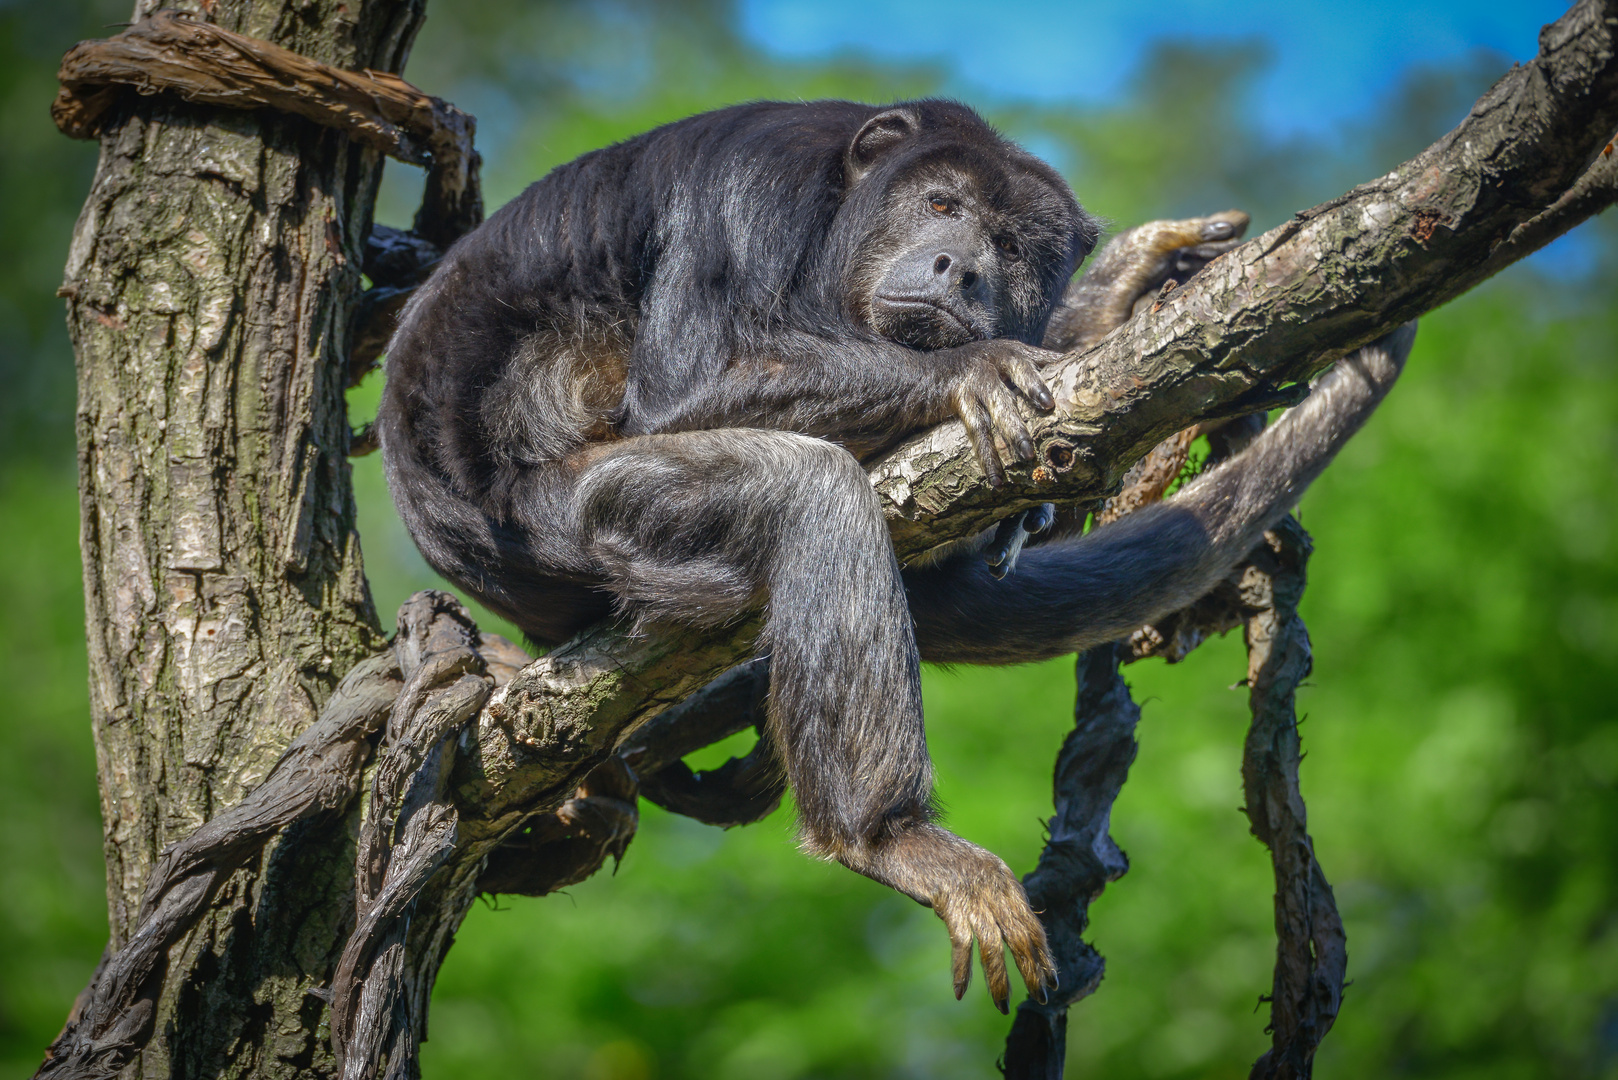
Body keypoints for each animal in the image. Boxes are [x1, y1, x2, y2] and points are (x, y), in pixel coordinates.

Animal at [375, 99, 1404, 1016]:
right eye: (944, 208)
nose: (961, 268)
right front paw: (968, 371)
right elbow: (684, 389)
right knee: (809, 489)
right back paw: (883, 835)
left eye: (1014, 248)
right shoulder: (750, 184)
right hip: (568, 518)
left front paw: (1111, 293)